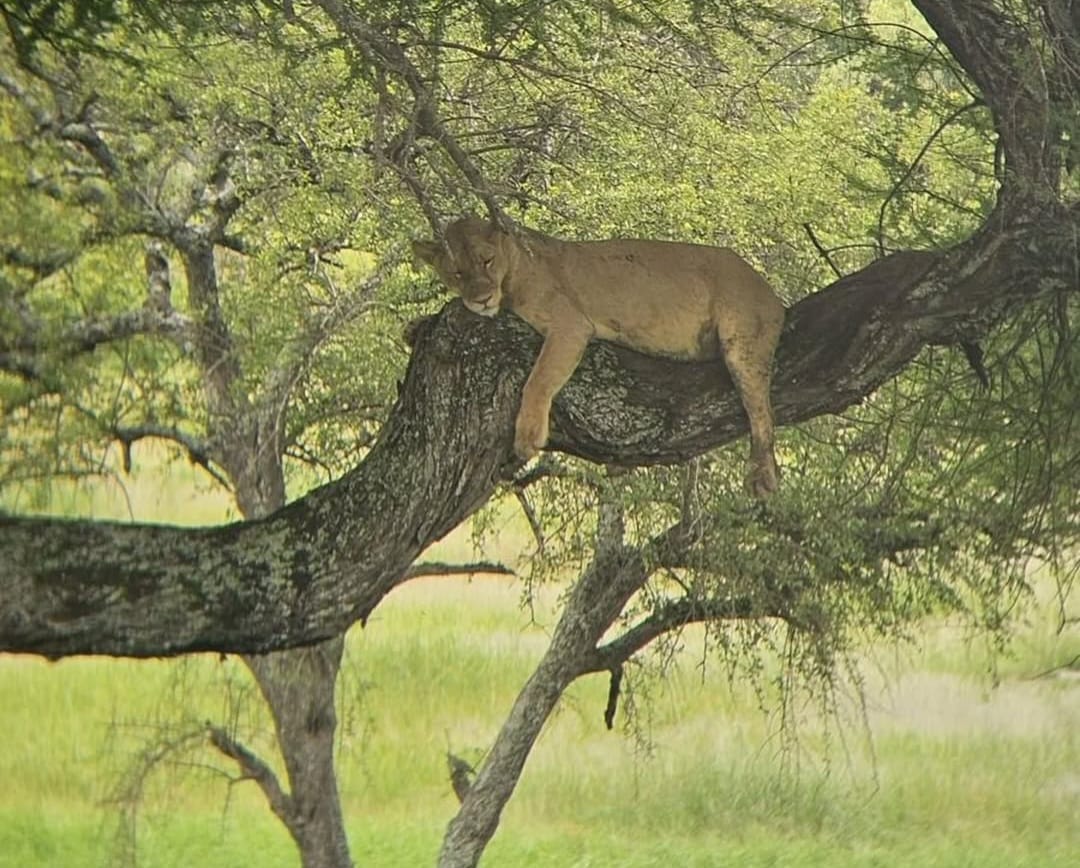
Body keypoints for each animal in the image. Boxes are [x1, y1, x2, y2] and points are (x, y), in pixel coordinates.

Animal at [413, 216, 785, 497]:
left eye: (487, 260)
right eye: (457, 273)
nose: (481, 299)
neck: (513, 270)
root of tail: (769, 290)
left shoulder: (571, 325)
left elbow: (539, 379)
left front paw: (529, 436)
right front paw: (415, 326)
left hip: (743, 341)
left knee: (762, 411)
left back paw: (763, 476)